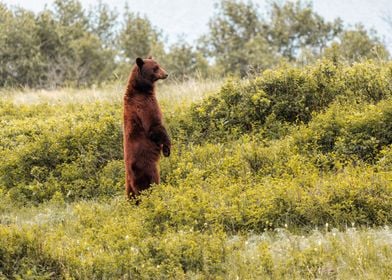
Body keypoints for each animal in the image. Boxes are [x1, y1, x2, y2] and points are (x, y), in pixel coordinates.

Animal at [123, 56, 171, 199]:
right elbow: (154, 127)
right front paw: (167, 148)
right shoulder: (145, 105)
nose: (166, 74)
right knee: (150, 183)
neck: (141, 89)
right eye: (155, 68)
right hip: (146, 168)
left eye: (158, 65)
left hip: (128, 185)